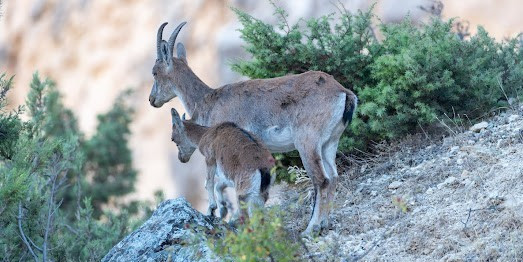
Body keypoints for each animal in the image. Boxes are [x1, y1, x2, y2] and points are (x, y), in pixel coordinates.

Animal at [149, 22, 358, 235]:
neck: (208, 101)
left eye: (154, 72)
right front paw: (223, 210)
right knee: (333, 177)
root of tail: (344, 93)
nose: (152, 100)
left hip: (307, 141)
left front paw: (219, 211)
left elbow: (219, 181)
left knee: (321, 179)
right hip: (329, 142)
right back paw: (325, 223)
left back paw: (311, 227)